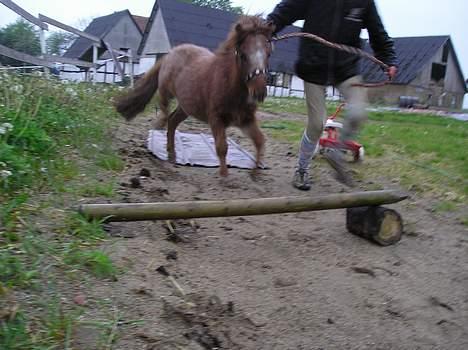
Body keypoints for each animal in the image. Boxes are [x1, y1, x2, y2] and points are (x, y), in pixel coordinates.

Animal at [114, 15, 274, 176]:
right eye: (243, 55)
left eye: (268, 54)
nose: (259, 92)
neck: (230, 85)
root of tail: (170, 53)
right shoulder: (216, 119)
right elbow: (222, 147)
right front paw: (224, 176)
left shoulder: (246, 120)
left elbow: (260, 141)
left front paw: (255, 173)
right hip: (166, 91)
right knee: (164, 109)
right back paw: (160, 126)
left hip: (186, 107)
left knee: (172, 121)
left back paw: (172, 154)